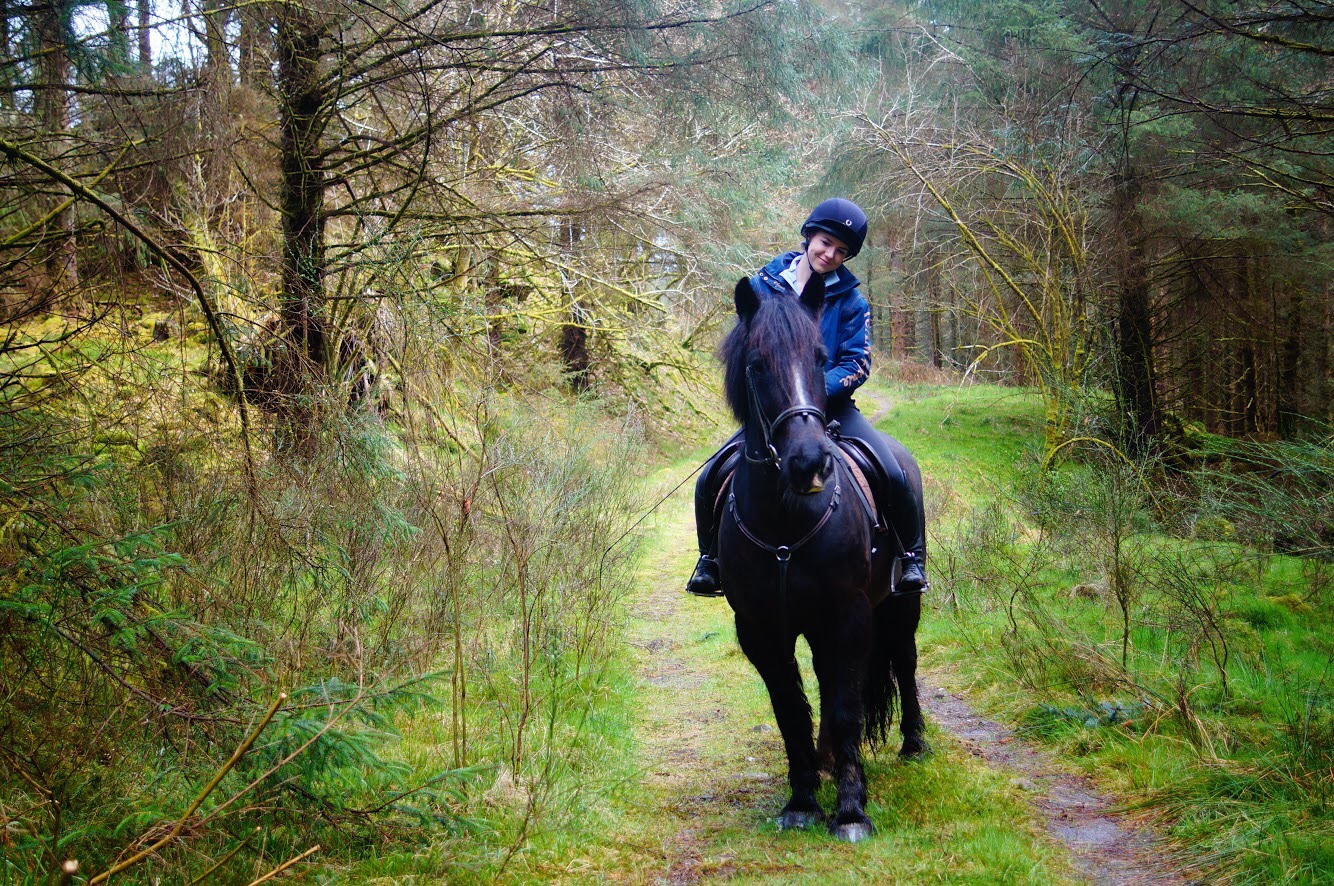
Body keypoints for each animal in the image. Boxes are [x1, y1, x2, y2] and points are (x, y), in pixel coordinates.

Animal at [715, 275, 927, 842]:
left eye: (818, 358)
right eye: (756, 364)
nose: (809, 463)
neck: (786, 524)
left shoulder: (848, 616)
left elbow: (847, 707)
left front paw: (851, 811)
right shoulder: (761, 628)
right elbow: (792, 710)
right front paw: (804, 800)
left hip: (901, 606)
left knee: (903, 661)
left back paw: (914, 743)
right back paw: (828, 762)